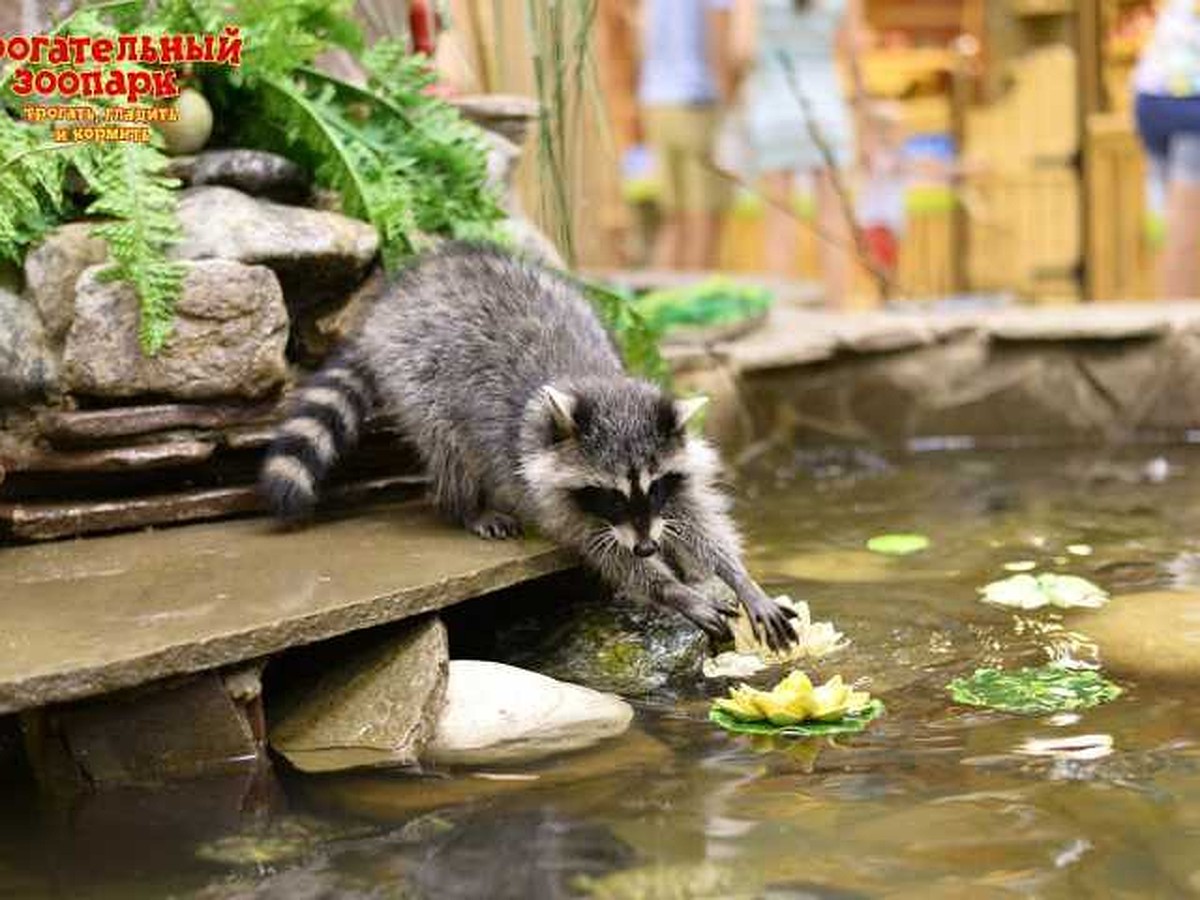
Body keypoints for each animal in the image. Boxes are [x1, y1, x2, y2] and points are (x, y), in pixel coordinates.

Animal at [265, 243, 796, 652]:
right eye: (611, 495)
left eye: (653, 486)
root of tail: (398, 296)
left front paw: (738, 577)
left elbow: (697, 518)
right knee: (448, 444)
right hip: (416, 372)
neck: (603, 387)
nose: (647, 546)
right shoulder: (547, 490)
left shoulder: (669, 476)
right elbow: (604, 551)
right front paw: (671, 589)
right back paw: (466, 505)